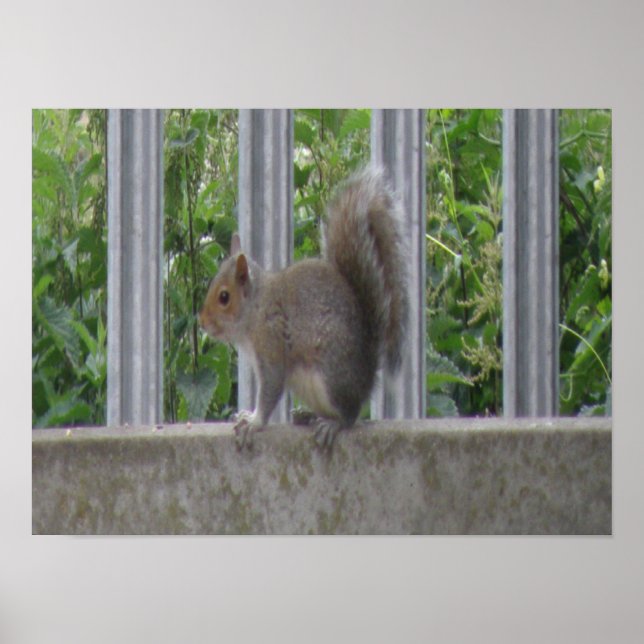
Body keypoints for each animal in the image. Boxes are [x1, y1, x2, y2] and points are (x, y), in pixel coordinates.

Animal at [198, 167, 409, 449]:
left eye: (224, 297)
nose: (202, 322)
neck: (256, 308)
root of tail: (367, 370)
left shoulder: (272, 342)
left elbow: (270, 389)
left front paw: (254, 422)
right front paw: (246, 415)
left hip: (331, 377)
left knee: (350, 414)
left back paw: (332, 424)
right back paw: (306, 415)